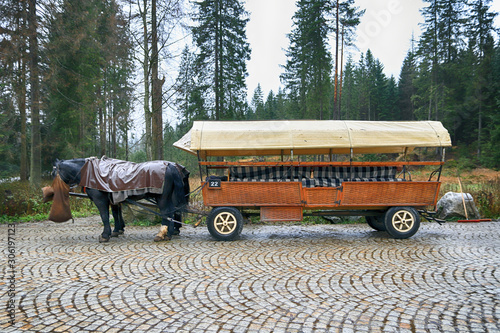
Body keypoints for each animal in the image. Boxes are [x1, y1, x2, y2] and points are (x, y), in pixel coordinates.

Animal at [52, 158, 189, 241]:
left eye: (53, 173)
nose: (52, 191)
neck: (90, 173)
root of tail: (170, 166)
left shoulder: (100, 200)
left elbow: (104, 216)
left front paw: (105, 235)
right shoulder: (113, 200)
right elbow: (115, 214)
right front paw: (116, 230)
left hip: (162, 198)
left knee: (167, 212)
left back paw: (162, 234)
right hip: (168, 197)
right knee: (172, 211)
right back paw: (169, 233)